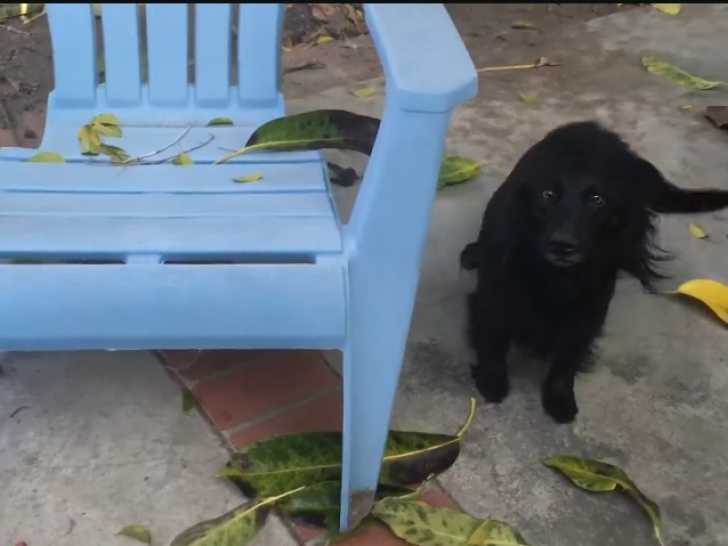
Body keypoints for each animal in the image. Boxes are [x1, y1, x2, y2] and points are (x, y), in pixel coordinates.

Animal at [461, 121, 728, 423]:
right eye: (547, 195)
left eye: (597, 200)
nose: (563, 245)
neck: (556, 275)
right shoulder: (494, 292)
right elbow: (493, 336)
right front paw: (492, 379)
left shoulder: (589, 310)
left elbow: (567, 357)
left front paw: (560, 397)